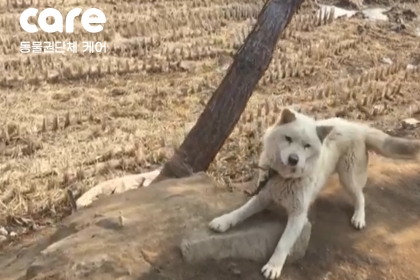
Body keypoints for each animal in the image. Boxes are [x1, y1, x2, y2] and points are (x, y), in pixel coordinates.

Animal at [210, 107, 420, 278]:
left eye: (307, 146)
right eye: (288, 139)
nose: (294, 159)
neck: (285, 178)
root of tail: (358, 126)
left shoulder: (298, 215)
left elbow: (283, 243)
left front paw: (274, 266)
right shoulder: (262, 196)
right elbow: (240, 212)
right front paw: (223, 221)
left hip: (348, 177)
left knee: (360, 196)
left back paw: (359, 217)